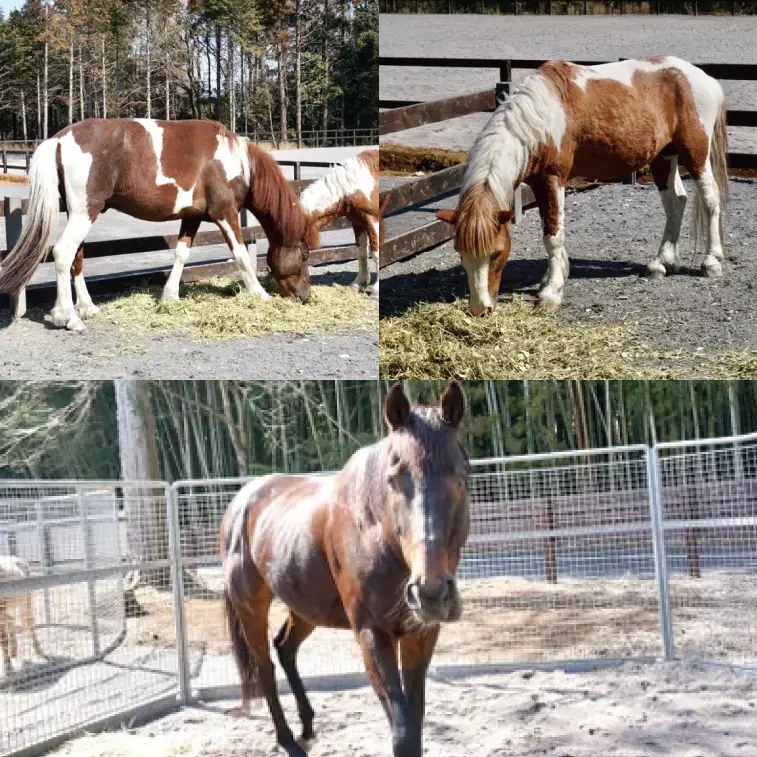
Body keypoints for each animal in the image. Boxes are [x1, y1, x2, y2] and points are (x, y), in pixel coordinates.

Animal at [0, 119, 320, 332]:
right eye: (304, 255)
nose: (306, 297)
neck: (235, 161)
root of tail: (58, 139)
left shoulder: (192, 216)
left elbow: (181, 254)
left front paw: (170, 297)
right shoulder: (225, 212)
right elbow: (241, 255)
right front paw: (259, 293)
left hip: (79, 213)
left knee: (76, 258)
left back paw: (87, 308)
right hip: (84, 213)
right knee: (64, 254)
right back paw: (68, 317)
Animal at [220, 382, 469, 757]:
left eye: (460, 476)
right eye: (393, 480)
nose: (430, 594)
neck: (375, 530)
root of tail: (241, 502)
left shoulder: (421, 634)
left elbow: (415, 721)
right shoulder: (371, 634)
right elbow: (403, 732)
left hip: (305, 607)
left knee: (285, 648)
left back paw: (308, 728)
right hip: (251, 607)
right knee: (264, 667)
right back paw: (289, 741)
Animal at [299, 149, 380, 297]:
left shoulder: (373, 220)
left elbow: (376, 254)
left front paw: (376, 291)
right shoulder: (358, 222)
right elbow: (361, 253)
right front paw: (358, 284)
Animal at [437, 57, 728, 316]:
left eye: (497, 253)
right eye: (460, 253)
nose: (480, 309)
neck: (539, 120)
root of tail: (705, 78)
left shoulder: (553, 179)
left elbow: (553, 236)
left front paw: (551, 293)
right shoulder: (539, 184)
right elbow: (549, 229)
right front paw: (553, 277)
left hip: (695, 154)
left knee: (711, 199)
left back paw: (711, 261)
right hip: (664, 157)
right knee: (676, 203)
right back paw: (662, 263)